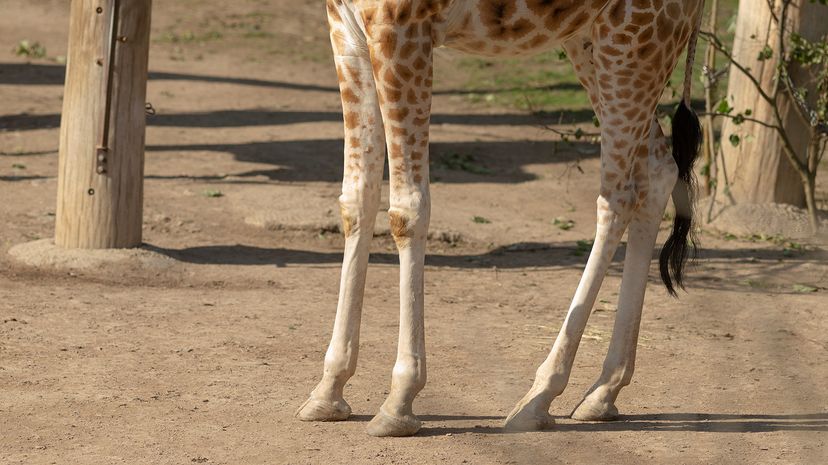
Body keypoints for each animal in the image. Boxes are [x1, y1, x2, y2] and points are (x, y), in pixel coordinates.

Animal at [296, 0, 705, 436]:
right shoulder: (346, 28)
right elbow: (357, 200)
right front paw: (328, 391)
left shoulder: (402, 28)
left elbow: (408, 210)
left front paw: (399, 402)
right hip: (593, 42)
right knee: (657, 170)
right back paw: (601, 394)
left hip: (635, 42)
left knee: (618, 196)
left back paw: (539, 397)